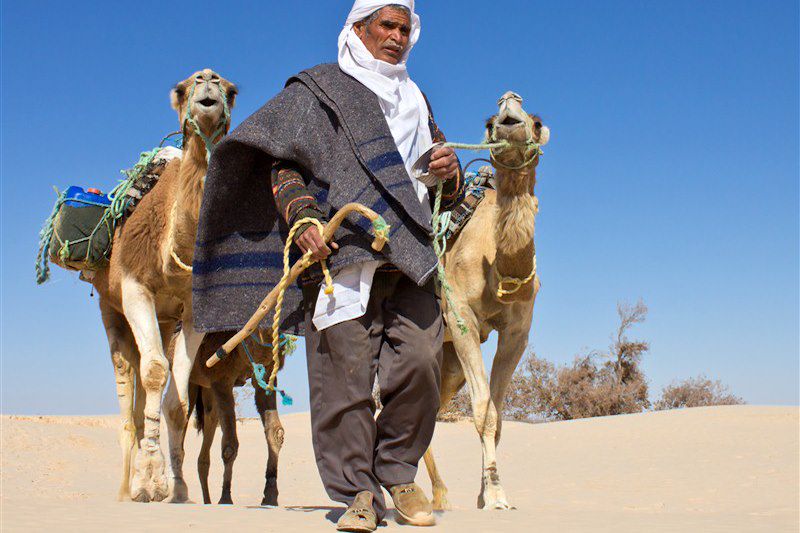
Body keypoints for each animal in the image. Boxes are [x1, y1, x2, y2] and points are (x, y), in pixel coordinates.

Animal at [91, 68, 238, 500]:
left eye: (231, 91)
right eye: (182, 88)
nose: (208, 80)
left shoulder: (189, 311)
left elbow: (177, 401)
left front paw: (177, 488)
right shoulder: (134, 286)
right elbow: (155, 372)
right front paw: (148, 482)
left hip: (163, 318)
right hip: (110, 307)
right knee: (128, 378)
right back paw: (125, 489)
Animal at [424, 92, 552, 512]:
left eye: (537, 121)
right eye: (489, 122)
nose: (509, 102)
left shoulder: (517, 332)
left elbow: (496, 415)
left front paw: (486, 494)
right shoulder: (461, 317)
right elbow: (484, 412)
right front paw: (495, 494)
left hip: (447, 361)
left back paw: (440, 496)